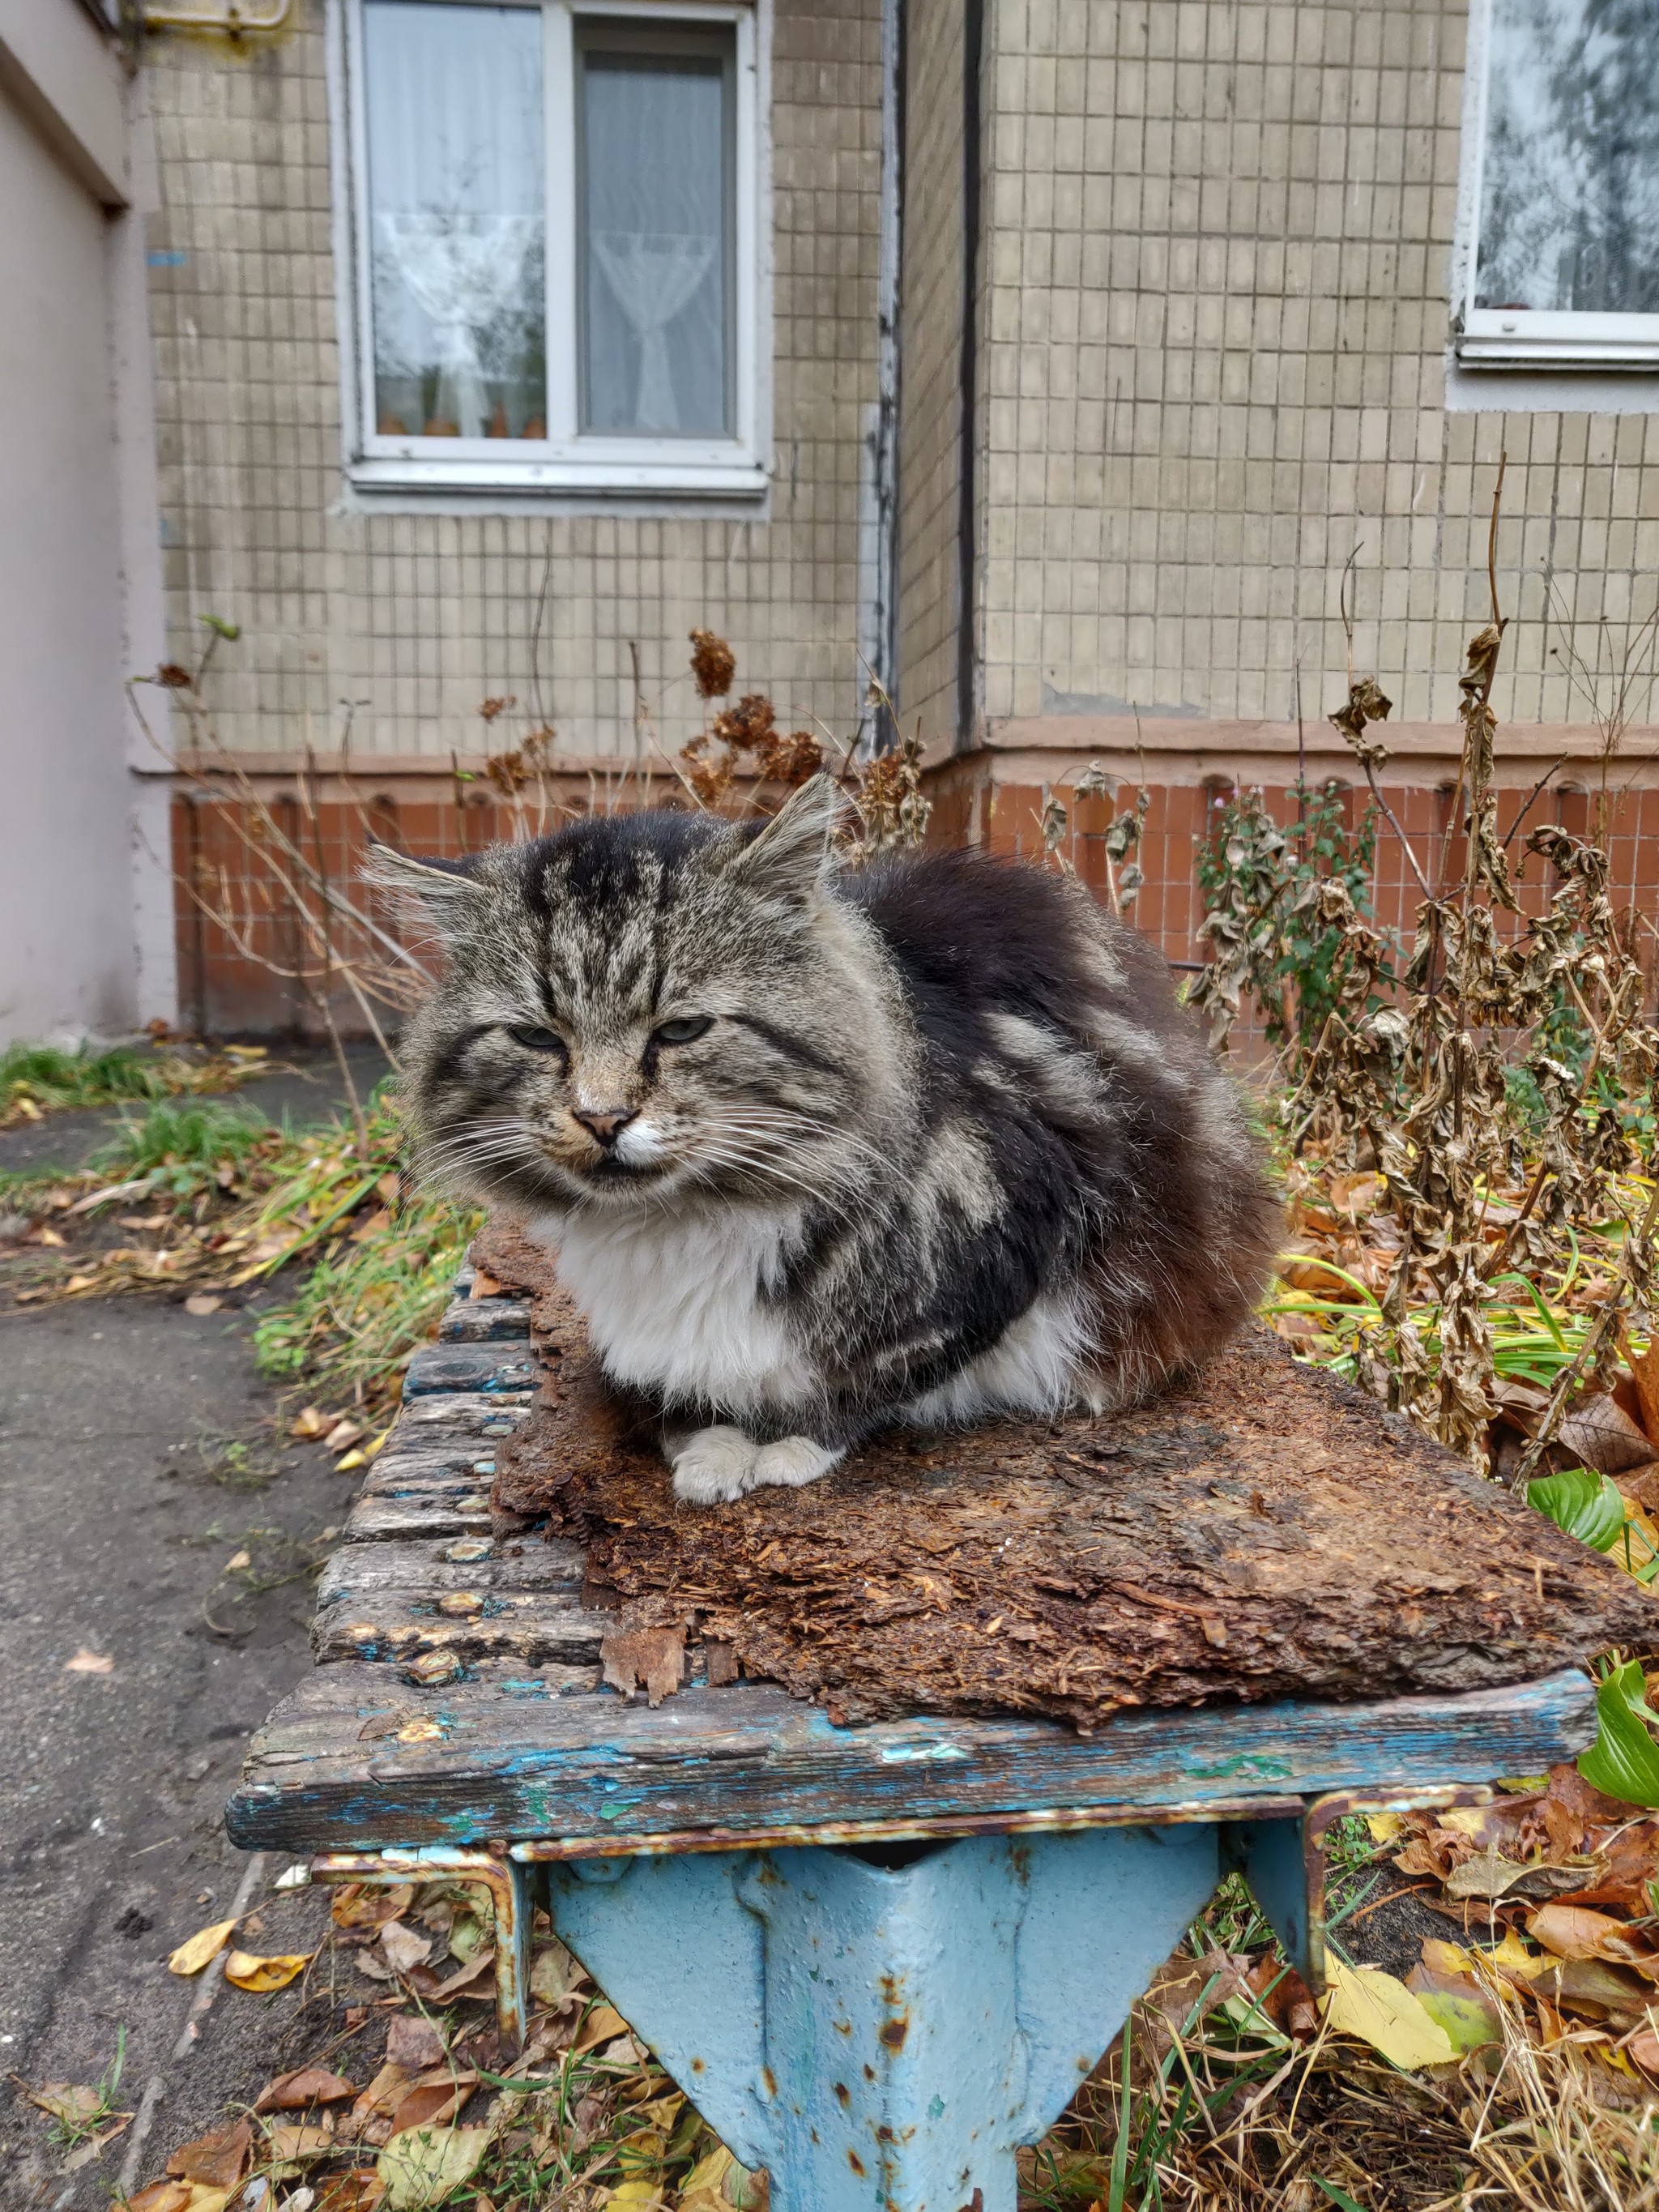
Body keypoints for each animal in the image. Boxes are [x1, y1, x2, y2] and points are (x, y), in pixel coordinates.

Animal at [373, 774, 1282, 1504]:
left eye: (681, 1030)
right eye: (538, 1039)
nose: (601, 1118)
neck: (682, 1224)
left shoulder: (1013, 1233)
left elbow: (860, 1382)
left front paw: (783, 1447)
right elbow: (691, 1397)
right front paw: (708, 1443)